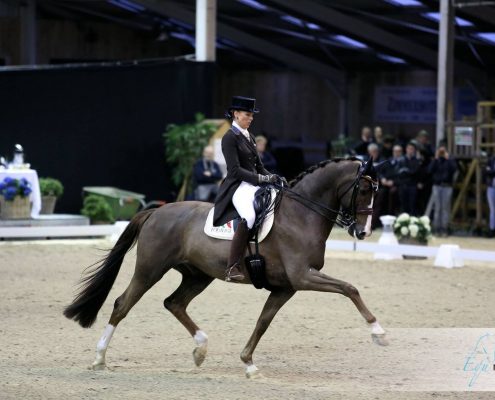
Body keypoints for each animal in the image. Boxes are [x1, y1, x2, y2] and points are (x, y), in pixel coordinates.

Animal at [64, 157, 388, 378]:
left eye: (376, 191)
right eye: (363, 190)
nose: (363, 233)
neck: (301, 214)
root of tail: (157, 211)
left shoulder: (286, 287)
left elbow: (263, 321)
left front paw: (249, 363)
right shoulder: (303, 277)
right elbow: (349, 288)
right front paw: (378, 332)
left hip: (198, 275)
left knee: (174, 303)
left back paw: (200, 349)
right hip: (150, 269)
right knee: (123, 304)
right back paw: (99, 358)